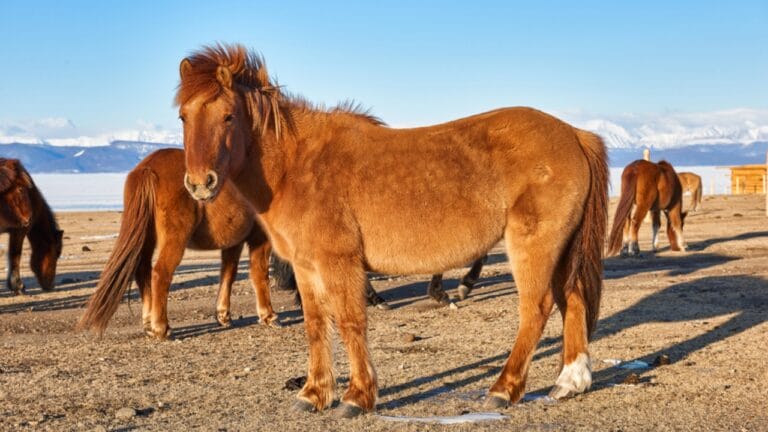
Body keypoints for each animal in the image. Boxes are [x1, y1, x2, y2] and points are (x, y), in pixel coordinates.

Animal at [176, 44, 608, 416]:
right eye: (183, 116)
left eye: (229, 116)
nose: (200, 184)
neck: (296, 166)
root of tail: (575, 134)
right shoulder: (305, 267)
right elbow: (316, 326)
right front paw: (314, 394)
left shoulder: (339, 263)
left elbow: (350, 322)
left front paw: (356, 397)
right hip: (562, 249)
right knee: (572, 299)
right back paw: (570, 381)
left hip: (534, 246)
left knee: (537, 308)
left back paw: (504, 389)